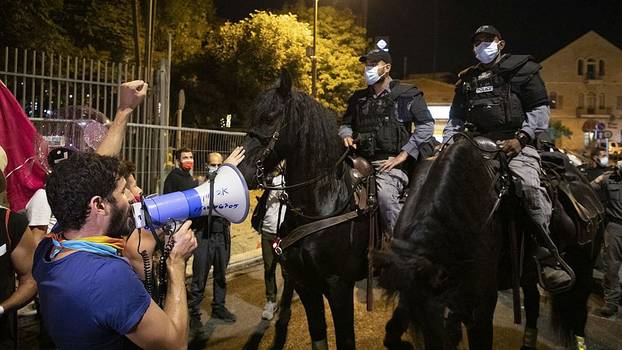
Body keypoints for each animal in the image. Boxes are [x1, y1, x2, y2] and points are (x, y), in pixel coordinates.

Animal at [236, 75, 368, 348]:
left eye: (270, 118)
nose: (241, 171)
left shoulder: (339, 286)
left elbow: (345, 339)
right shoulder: (306, 284)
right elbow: (318, 334)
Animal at [376, 137, 604, 350]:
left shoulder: (480, 307)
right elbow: (392, 330)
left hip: (585, 270)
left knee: (579, 311)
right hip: (528, 273)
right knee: (533, 303)